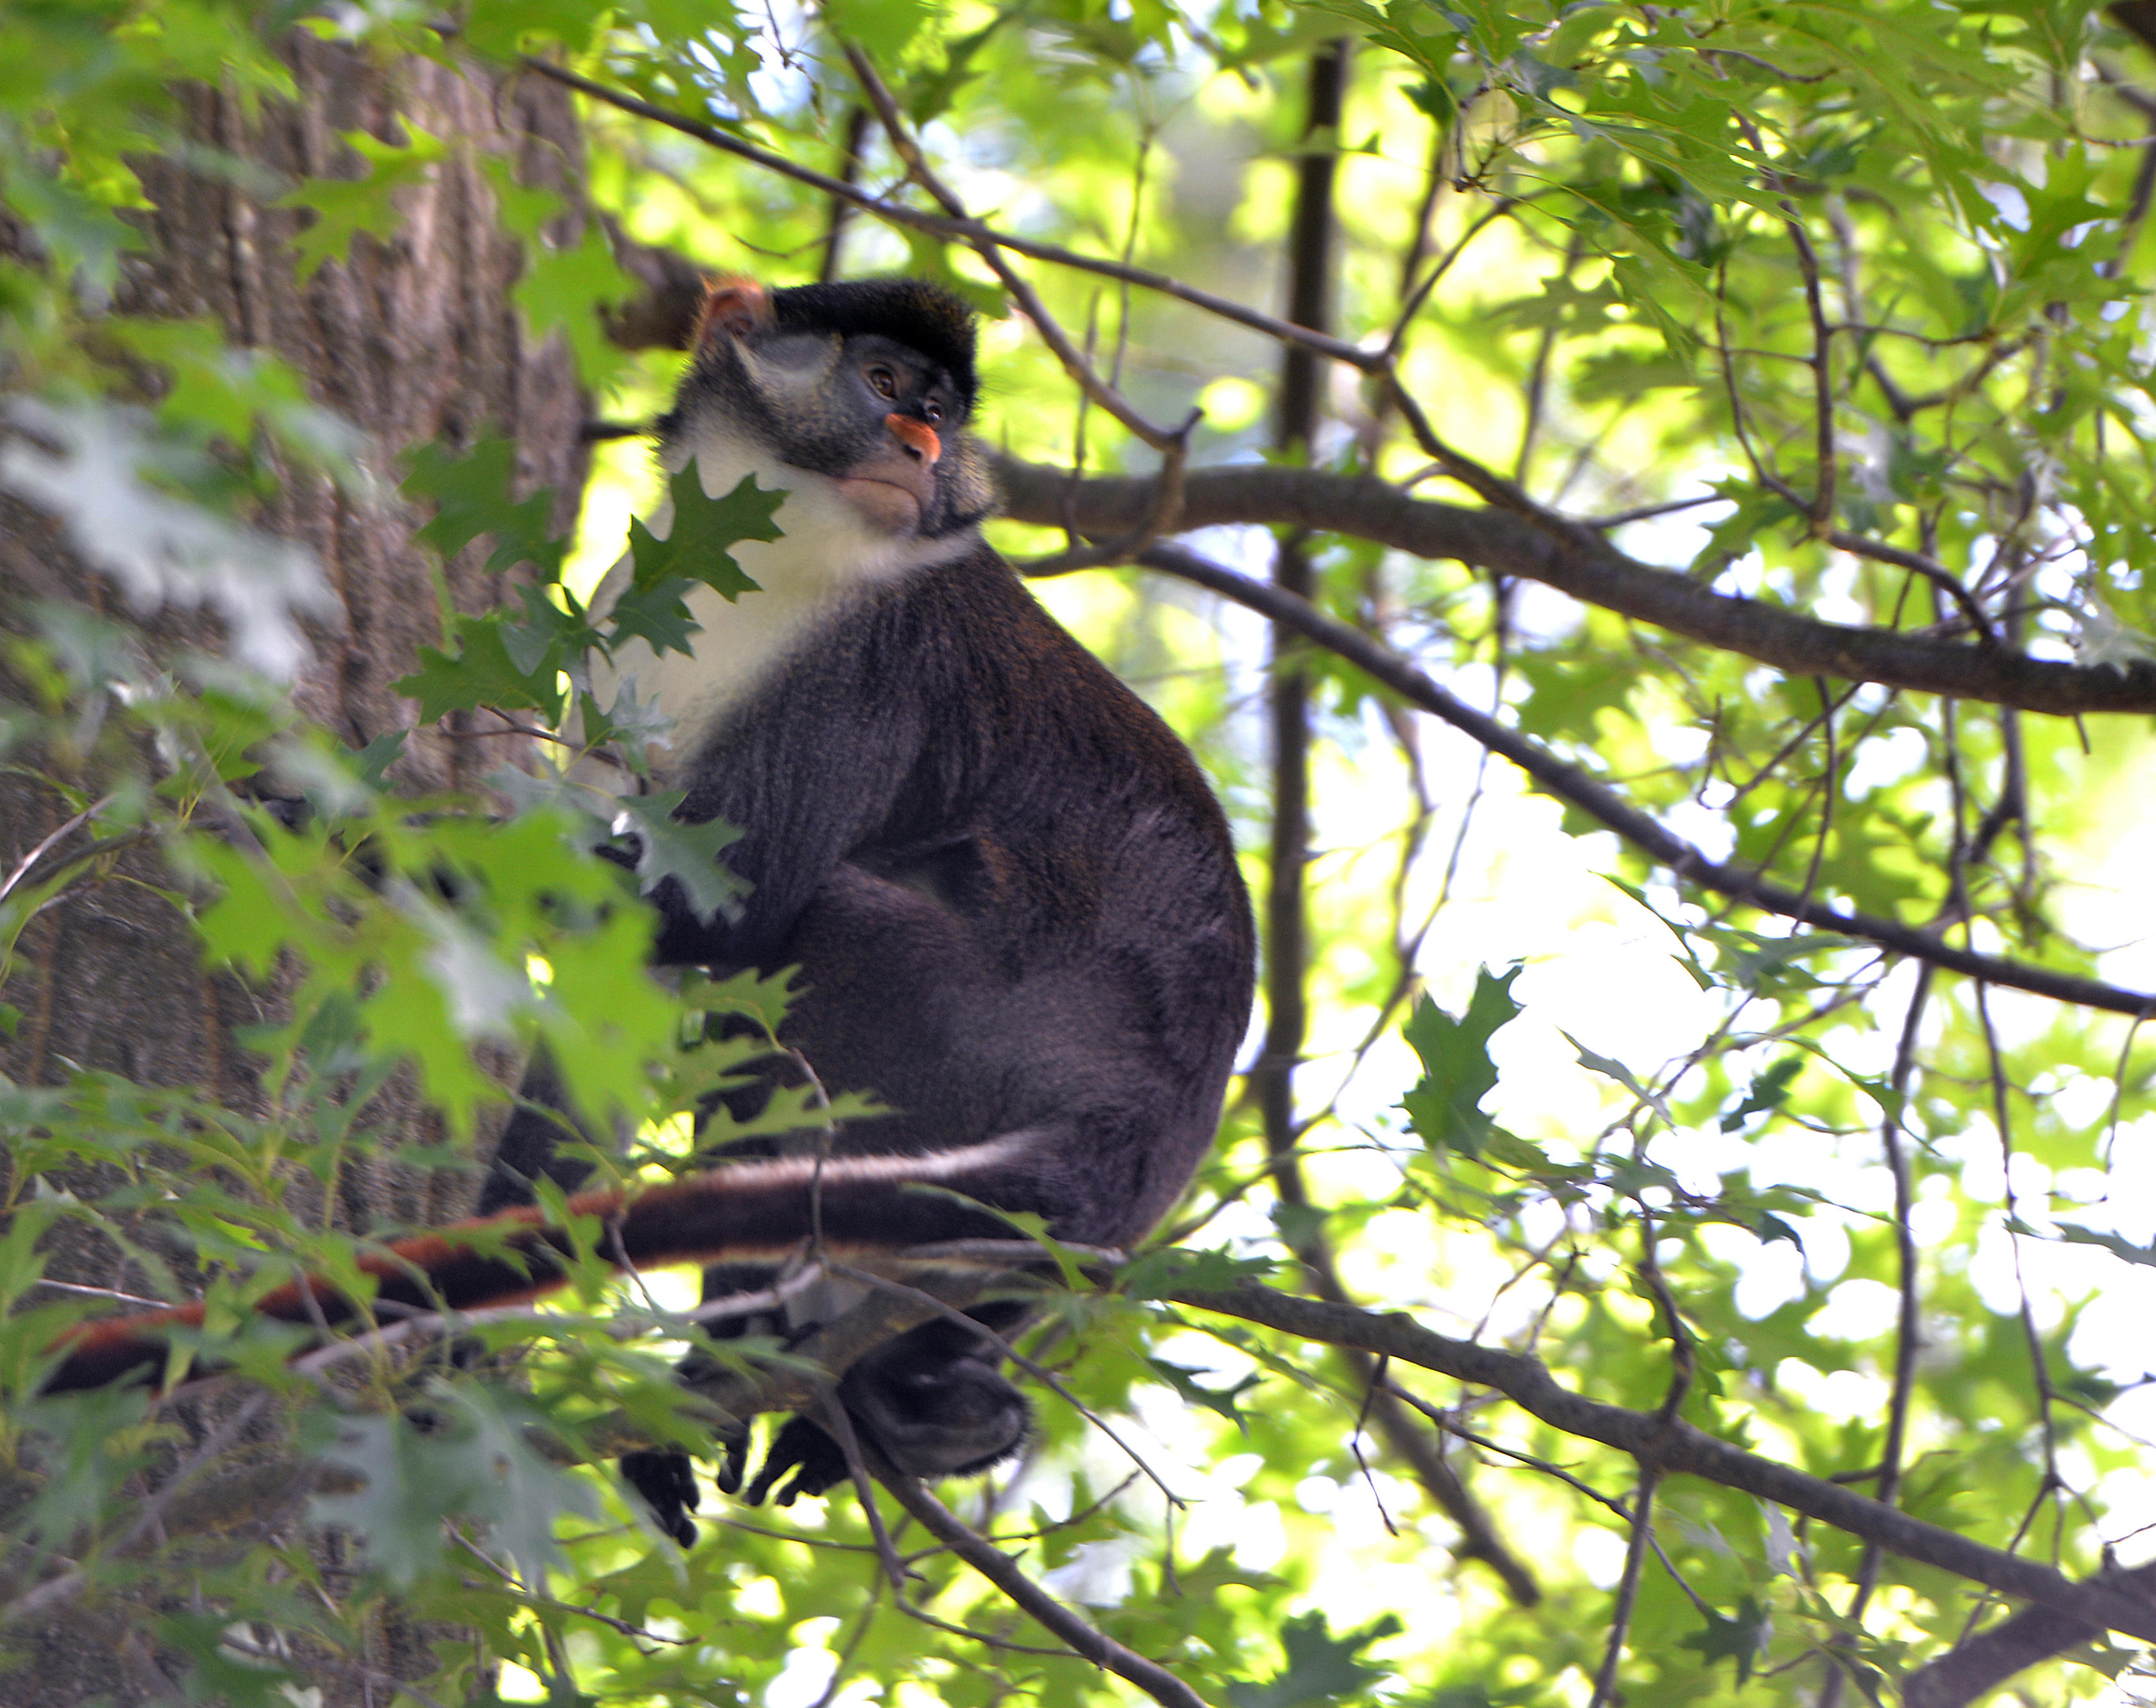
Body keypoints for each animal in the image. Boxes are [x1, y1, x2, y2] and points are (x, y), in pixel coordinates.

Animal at [40, 276, 1256, 1539]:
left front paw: (320, 814)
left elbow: (737, 910)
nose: (920, 448)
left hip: (949, 1029)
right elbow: (611, 989)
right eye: (883, 383)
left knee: (823, 929)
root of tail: (1135, 1126)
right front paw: (459, 1354)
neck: (775, 565)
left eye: (940, 412)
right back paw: (897, 1386)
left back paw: (760, 1357)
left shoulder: (874, 662)